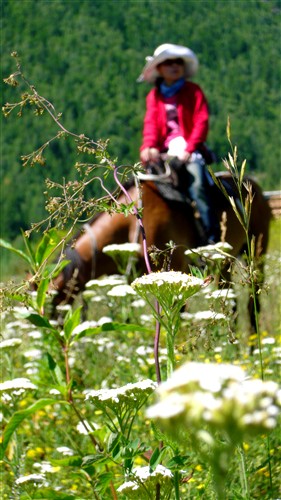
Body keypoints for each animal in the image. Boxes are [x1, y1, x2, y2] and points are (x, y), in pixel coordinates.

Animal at [51, 172, 270, 332]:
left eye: (53, 299)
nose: (56, 338)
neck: (134, 223)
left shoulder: (176, 268)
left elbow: (178, 317)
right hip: (224, 263)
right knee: (231, 302)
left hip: (257, 252)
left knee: (253, 303)